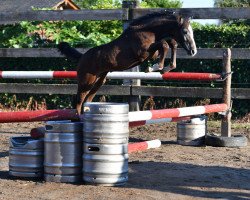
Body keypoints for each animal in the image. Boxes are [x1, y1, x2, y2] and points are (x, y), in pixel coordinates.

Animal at [58, 11, 197, 114]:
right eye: (185, 31)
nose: (193, 51)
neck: (147, 31)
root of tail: (82, 57)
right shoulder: (143, 53)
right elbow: (164, 45)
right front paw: (156, 67)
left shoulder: (152, 51)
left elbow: (170, 43)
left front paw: (165, 68)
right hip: (86, 81)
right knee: (79, 100)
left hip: (99, 80)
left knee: (87, 99)